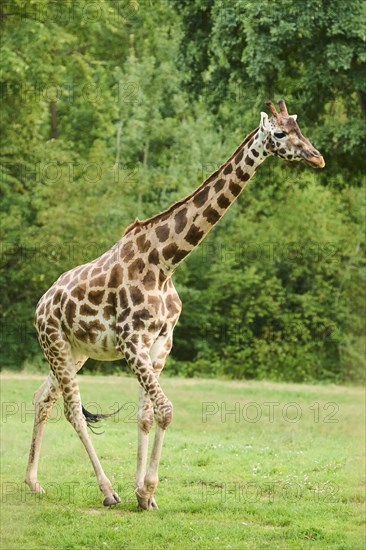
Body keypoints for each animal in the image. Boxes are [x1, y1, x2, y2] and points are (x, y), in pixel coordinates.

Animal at [25, 100, 324, 512]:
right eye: (279, 133)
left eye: (299, 127)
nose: (317, 157)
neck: (165, 262)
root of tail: (41, 304)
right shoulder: (131, 340)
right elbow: (165, 411)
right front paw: (146, 489)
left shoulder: (160, 342)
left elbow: (146, 416)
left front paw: (143, 494)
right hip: (55, 343)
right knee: (72, 410)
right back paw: (107, 491)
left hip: (75, 351)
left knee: (43, 399)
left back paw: (34, 483)